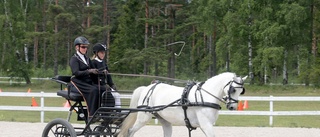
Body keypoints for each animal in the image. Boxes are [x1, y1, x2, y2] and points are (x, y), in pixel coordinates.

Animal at [118, 72, 248, 136]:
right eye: (233, 90)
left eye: (241, 91)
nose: (232, 107)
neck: (205, 96)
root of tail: (147, 88)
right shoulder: (206, 125)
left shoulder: (207, 125)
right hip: (144, 117)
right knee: (130, 131)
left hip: (164, 120)